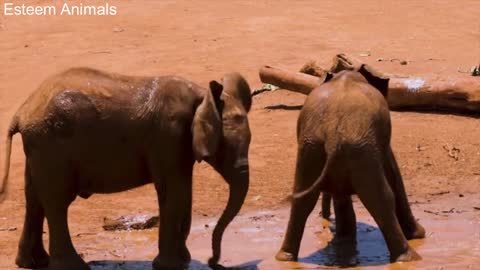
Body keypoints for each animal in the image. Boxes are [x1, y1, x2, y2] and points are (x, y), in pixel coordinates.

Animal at [0, 67, 253, 270]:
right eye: (227, 147)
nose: (214, 262)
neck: (202, 95)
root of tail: (21, 112)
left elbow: (181, 191)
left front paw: (182, 262)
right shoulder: (168, 135)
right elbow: (173, 191)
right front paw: (173, 266)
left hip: (40, 148)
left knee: (34, 198)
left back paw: (33, 263)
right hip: (51, 145)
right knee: (57, 202)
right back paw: (73, 267)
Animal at [276, 65, 426, 264]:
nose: (325, 218)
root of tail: (332, 135)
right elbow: (392, 170)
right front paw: (419, 234)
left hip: (313, 149)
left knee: (302, 198)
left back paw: (286, 257)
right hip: (359, 150)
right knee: (380, 197)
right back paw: (408, 258)